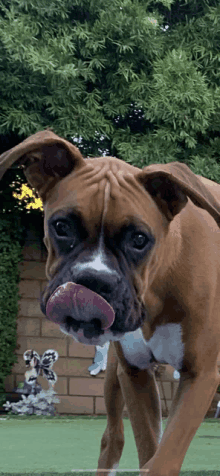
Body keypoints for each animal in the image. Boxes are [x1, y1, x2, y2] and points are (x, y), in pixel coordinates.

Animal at [0, 128, 220, 474]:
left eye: (139, 239)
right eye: (61, 226)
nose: (93, 281)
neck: (159, 282)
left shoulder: (200, 375)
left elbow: (162, 458)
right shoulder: (135, 375)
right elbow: (149, 450)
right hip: (115, 378)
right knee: (112, 438)